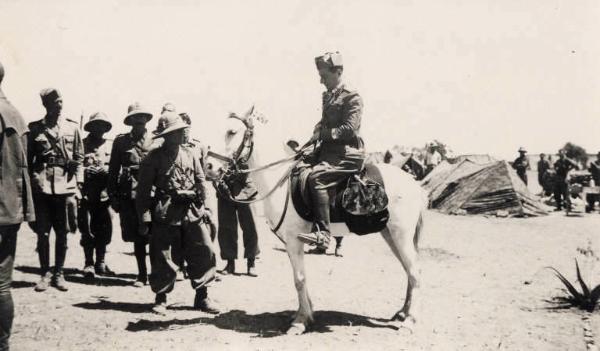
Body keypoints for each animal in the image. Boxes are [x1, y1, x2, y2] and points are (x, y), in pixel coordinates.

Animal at [221, 107, 426, 336]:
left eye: (231, 132)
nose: (210, 166)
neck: (282, 182)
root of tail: (414, 184)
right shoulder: (290, 242)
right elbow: (300, 278)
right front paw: (306, 314)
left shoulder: (294, 240)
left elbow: (299, 279)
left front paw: (300, 322)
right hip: (390, 235)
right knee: (408, 270)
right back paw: (402, 313)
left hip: (401, 235)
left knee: (415, 271)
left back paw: (410, 321)